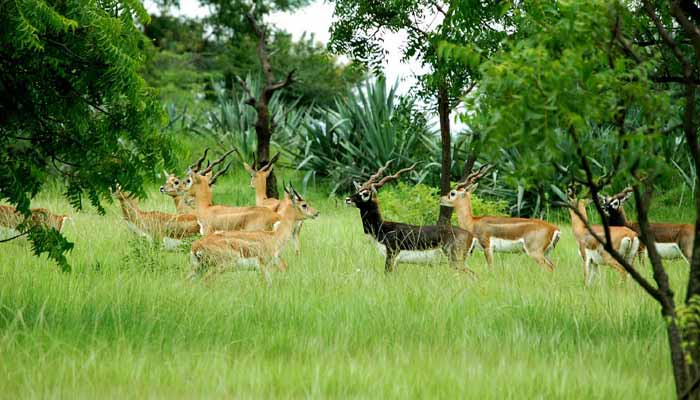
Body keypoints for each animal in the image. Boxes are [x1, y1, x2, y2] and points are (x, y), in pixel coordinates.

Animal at [189, 184, 320, 280]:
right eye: (304, 205)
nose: (317, 213)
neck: (274, 237)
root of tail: (196, 246)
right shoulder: (263, 266)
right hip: (220, 267)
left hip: (199, 268)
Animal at [344, 161, 476, 274]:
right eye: (358, 190)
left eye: (365, 193)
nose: (347, 199)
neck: (382, 228)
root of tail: (471, 236)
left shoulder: (391, 256)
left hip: (455, 262)